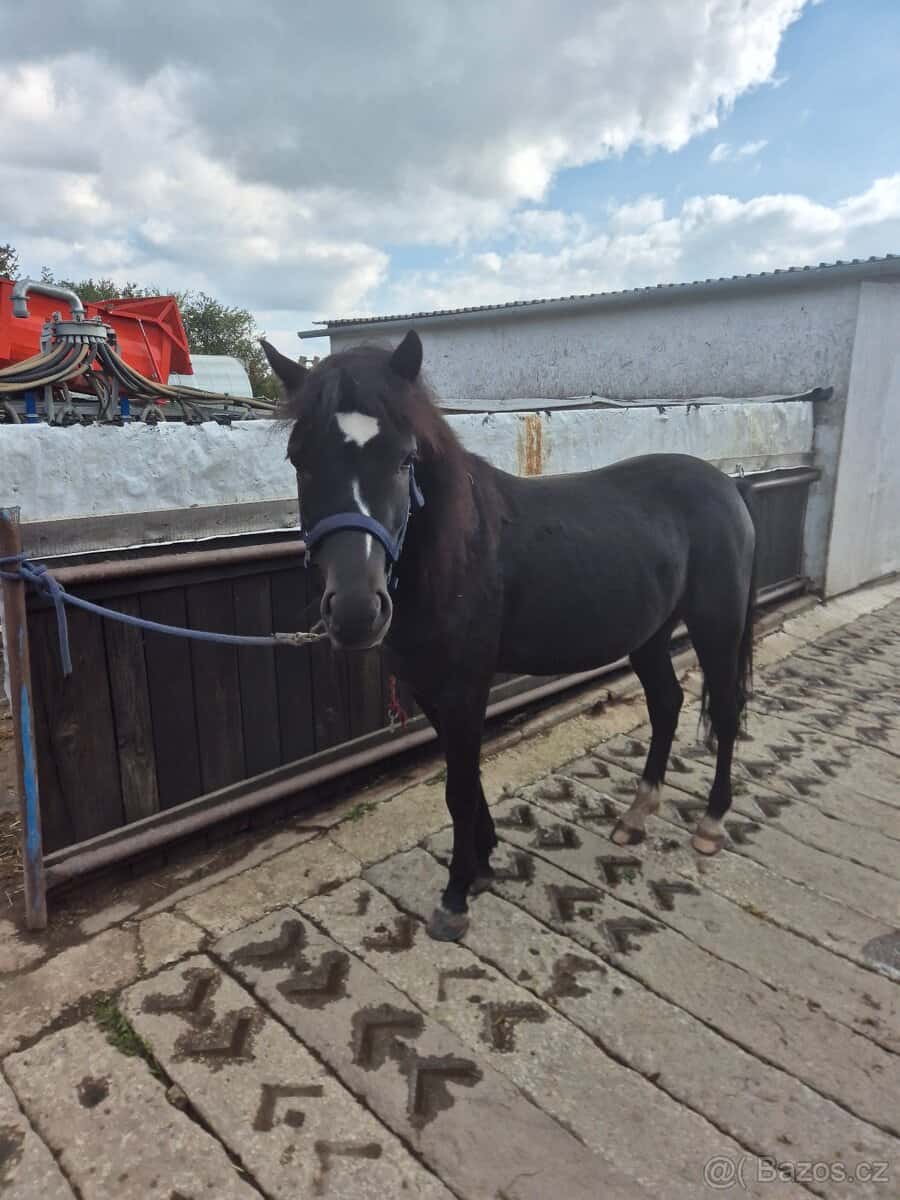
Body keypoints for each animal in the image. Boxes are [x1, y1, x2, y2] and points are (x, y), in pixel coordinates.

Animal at [261, 330, 756, 941]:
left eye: (405, 460)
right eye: (299, 460)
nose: (356, 611)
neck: (458, 555)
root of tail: (726, 487)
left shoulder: (467, 686)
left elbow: (457, 788)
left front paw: (455, 897)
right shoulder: (433, 689)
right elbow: (465, 778)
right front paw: (482, 863)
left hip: (717, 625)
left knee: (726, 711)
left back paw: (710, 823)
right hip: (649, 634)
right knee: (667, 703)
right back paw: (636, 816)